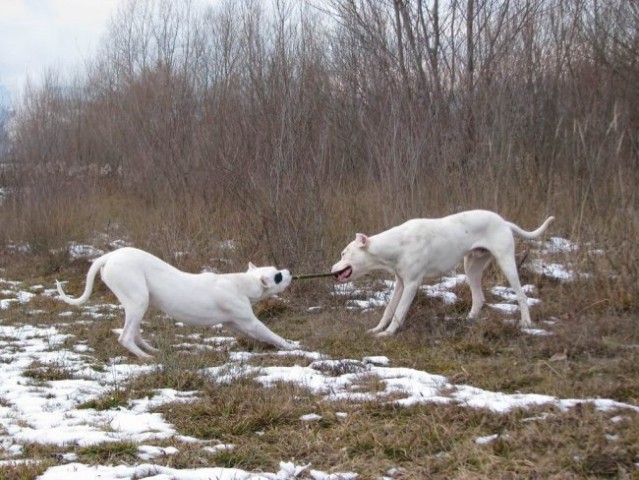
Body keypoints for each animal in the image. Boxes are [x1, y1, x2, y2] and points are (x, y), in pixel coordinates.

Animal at [57, 248, 298, 356]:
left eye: (277, 270)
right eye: (278, 276)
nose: (289, 271)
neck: (240, 282)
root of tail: (109, 256)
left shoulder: (236, 323)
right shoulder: (249, 321)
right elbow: (272, 334)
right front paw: (291, 346)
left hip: (138, 304)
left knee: (134, 333)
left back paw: (152, 350)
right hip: (138, 301)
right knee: (125, 337)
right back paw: (145, 357)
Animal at [332, 210, 556, 338]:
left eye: (343, 253)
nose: (332, 271)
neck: (396, 244)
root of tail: (504, 222)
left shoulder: (411, 284)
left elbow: (399, 312)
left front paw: (388, 333)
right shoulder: (400, 283)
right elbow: (389, 310)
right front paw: (378, 329)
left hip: (506, 263)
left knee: (522, 295)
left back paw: (526, 323)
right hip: (471, 267)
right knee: (479, 298)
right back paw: (468, 320)